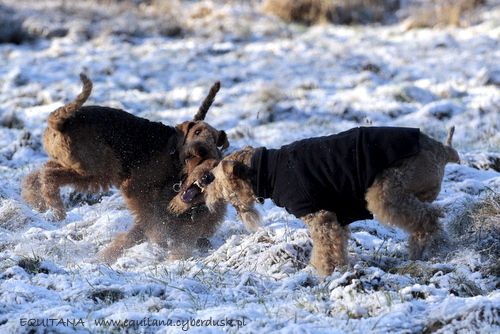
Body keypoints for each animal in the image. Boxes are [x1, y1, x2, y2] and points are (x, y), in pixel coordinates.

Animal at [21, 73, 229, 264]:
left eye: (214, 139)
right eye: (197, 131)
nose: (201, 149)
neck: (173, 150)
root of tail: (60, 122)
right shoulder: (136, 187)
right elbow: (150, 217)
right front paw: (158, 237)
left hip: (79, 165)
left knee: (39, 173)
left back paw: (37, 201)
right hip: (96, 171)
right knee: (49, 175)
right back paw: (57, 209)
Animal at [170, 126, 458, 276]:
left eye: (213, 177)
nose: (203, 187)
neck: (265, 170)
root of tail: (443, 150)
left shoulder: (320, 217)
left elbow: (326, 248)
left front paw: (323, 272)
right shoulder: (336, 217)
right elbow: (335, 246)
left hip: (386, 194)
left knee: (429, 218)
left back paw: (429, 249)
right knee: (426, 217)